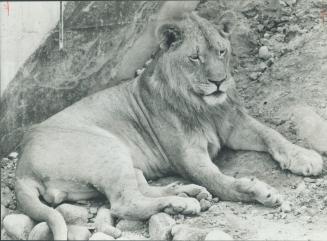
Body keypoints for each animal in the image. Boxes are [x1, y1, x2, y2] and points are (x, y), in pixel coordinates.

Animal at [13, 1, 322, 239]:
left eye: (221, 51)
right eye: (195, 57)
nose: (219, 81)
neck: (204, 107)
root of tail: (22, 166)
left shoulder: (234, 124)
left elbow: (271, 134)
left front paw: (305, 157)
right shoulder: (189, 157)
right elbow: (221, 182)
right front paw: (258, 190)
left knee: (142, 188)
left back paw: (187, 194)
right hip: (108, 148)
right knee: (124, 203)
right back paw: (181, 203)